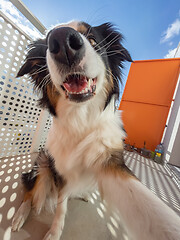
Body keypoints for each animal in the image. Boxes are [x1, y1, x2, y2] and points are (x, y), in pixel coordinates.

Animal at [11, 21, 180, 240]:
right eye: (48, 43)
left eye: (92, 40)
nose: (62, 41)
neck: (81, 119)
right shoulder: (61, 169)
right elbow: (61, 206)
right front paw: (54, 232)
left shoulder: (109, 160)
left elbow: (149, 208)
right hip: (43, 162)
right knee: (31, 191)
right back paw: (19, 216)